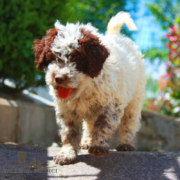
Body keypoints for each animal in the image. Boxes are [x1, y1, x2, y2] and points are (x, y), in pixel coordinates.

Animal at [32, 11, 146, 165]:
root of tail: (116, 37)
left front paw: (98, 146)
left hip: (135, 97)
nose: (59, 78)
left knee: (130, 121)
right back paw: (86, 141)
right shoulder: (66, 109)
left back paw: (126, 144)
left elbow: (103, 124)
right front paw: (67, 153)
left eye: (76, 59)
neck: (85, 87)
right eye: (51, 58)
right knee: (89, 124)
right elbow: (70, 132)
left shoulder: (112, 104)